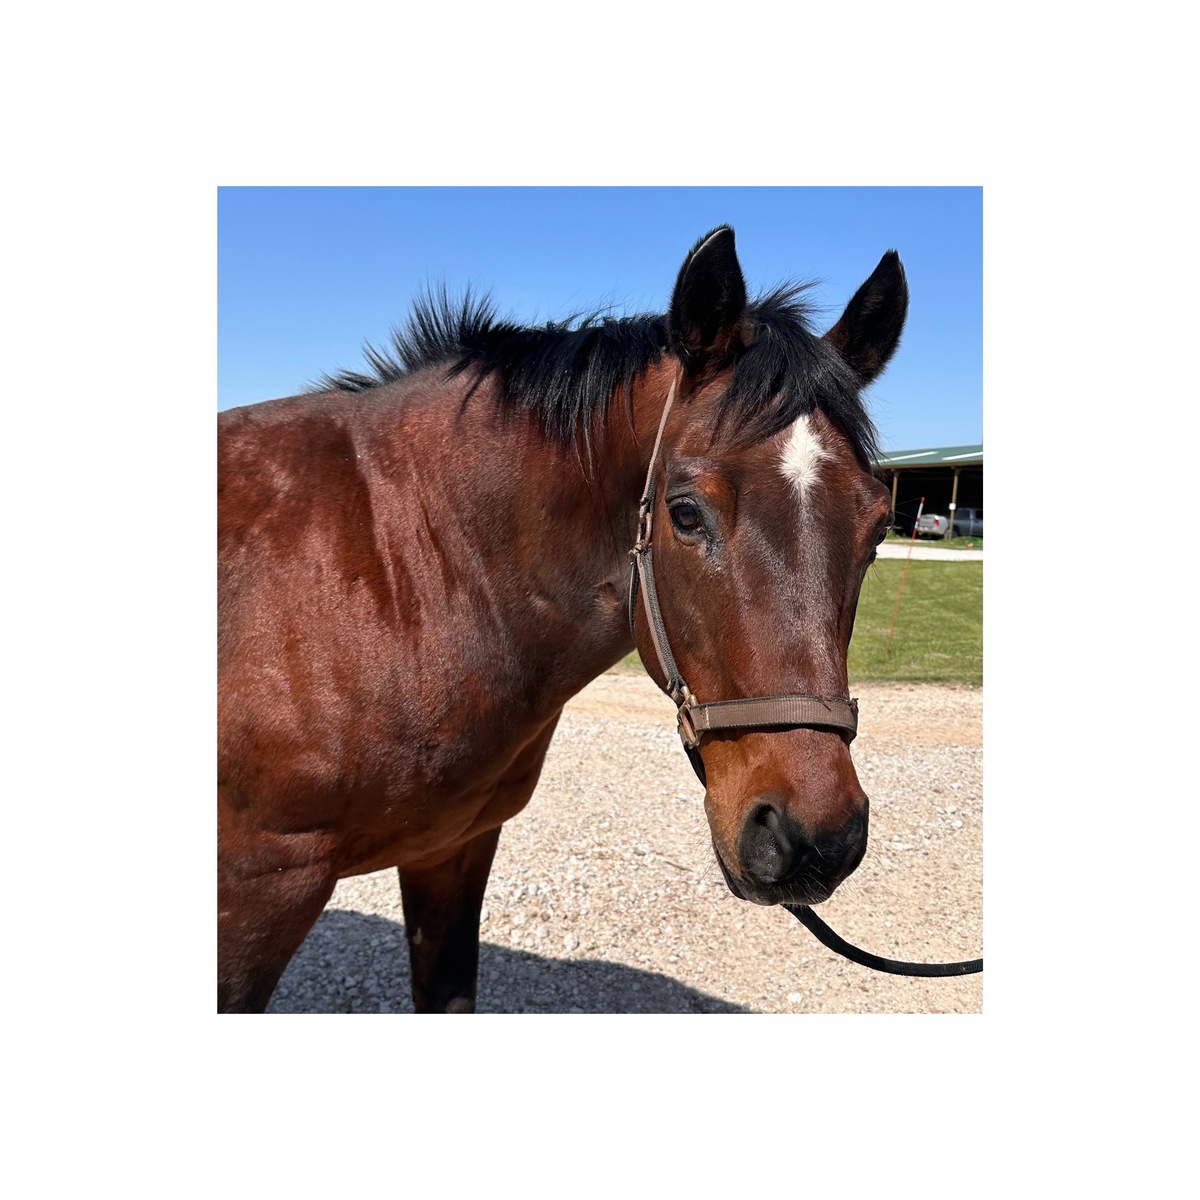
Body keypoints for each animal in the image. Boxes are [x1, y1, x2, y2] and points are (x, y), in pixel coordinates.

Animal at [217, 226, 908, 1012]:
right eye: (685, 513)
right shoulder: (259, 895)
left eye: (878, 529)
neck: (399, 563)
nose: (816, 838)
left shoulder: (451, 850)